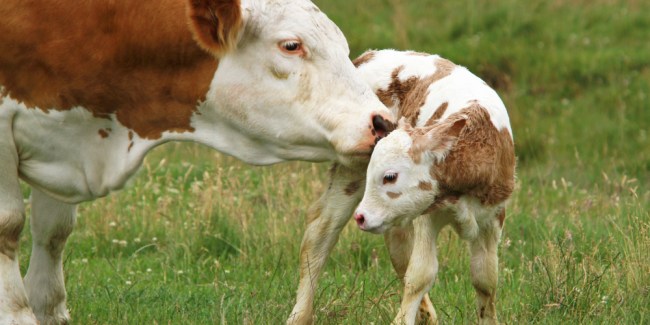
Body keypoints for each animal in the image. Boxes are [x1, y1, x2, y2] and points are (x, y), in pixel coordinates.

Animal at [1, 1, 394, 322]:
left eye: (343, 49)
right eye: (291, 45)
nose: (382, 122)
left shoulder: (64, 145)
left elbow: (54, 230)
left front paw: (47, 309)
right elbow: (10, 224)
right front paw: (17, 313)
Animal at [352, 48, 512, 324]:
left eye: (390, 176)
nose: (360, 217)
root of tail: (370, 55)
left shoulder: (493, 219)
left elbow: (485, 278)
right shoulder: (427, 216)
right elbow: (420, 275)